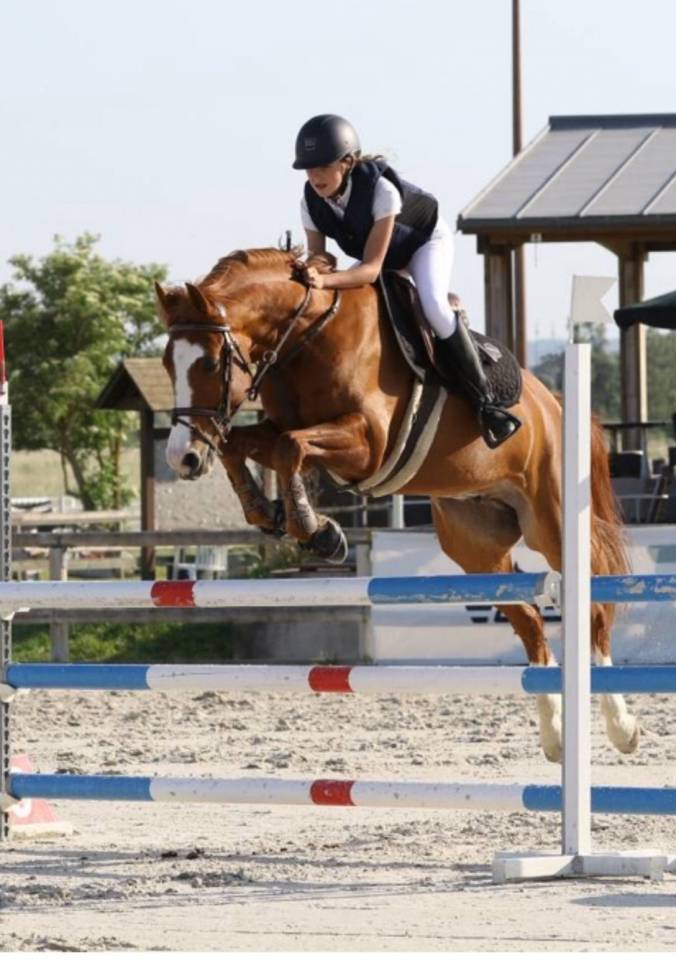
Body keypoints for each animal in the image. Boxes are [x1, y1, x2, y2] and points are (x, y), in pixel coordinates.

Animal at [156, 246, 636, 764]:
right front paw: (271, 515)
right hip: (475, 542)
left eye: (209, 364)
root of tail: (557, 404)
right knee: (529, 621)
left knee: (592, 609)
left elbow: (289, 447)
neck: (305, 336)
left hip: (551, 522)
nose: (181, 458)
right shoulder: (280, 428)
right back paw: (554, 735)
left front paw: (317, 531)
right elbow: (241, 445)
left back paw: (621, 727)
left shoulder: (368, 443)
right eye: (167, 364)